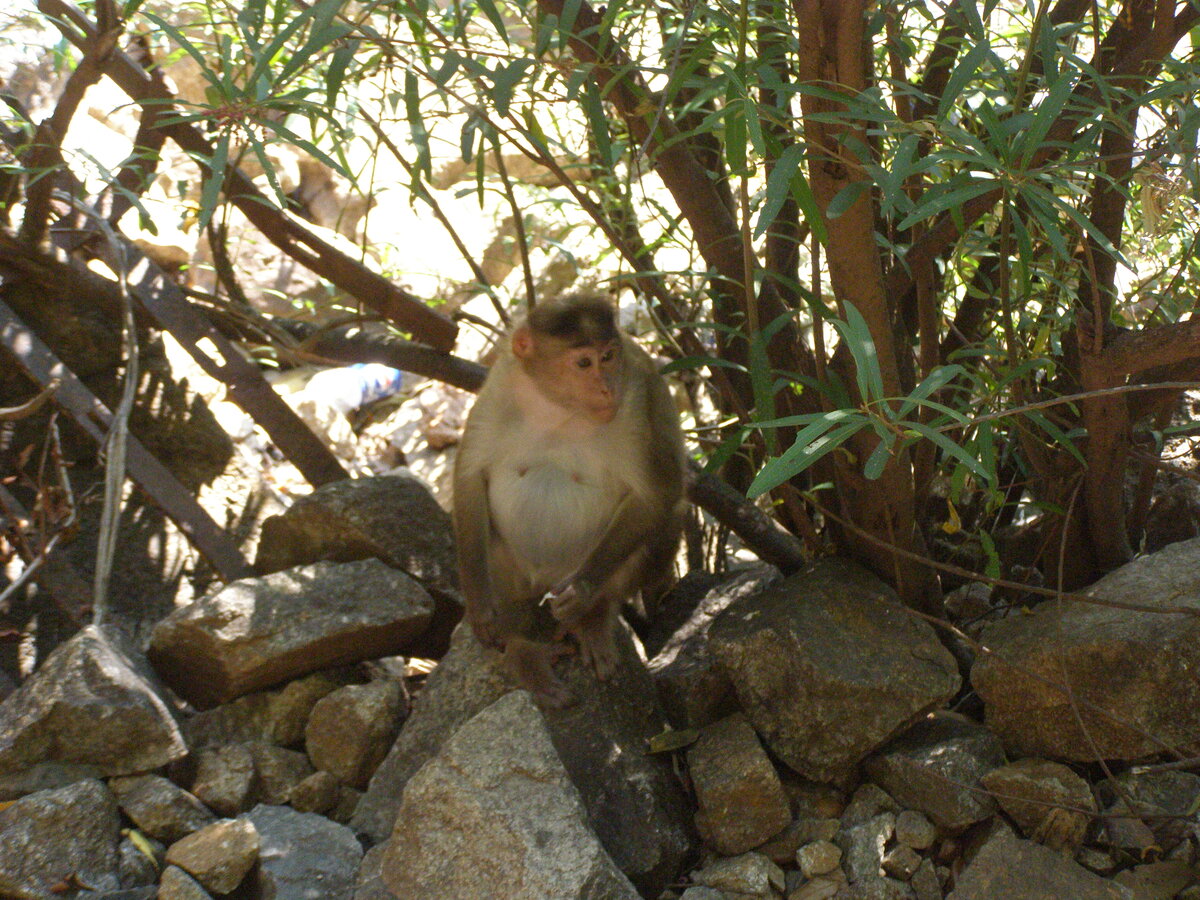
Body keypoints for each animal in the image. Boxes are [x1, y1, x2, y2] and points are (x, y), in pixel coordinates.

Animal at [451, 292, 686, 710]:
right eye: (583, 363)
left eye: (608, 356)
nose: (607, 389)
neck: (556, 408)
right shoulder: (499, 388)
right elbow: (470, 478)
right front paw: (479, 605)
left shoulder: (634, 402)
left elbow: (659, 494)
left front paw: (583, 593)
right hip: (520, 581)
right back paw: (523, 648)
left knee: (667, 519)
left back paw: (592, 618)